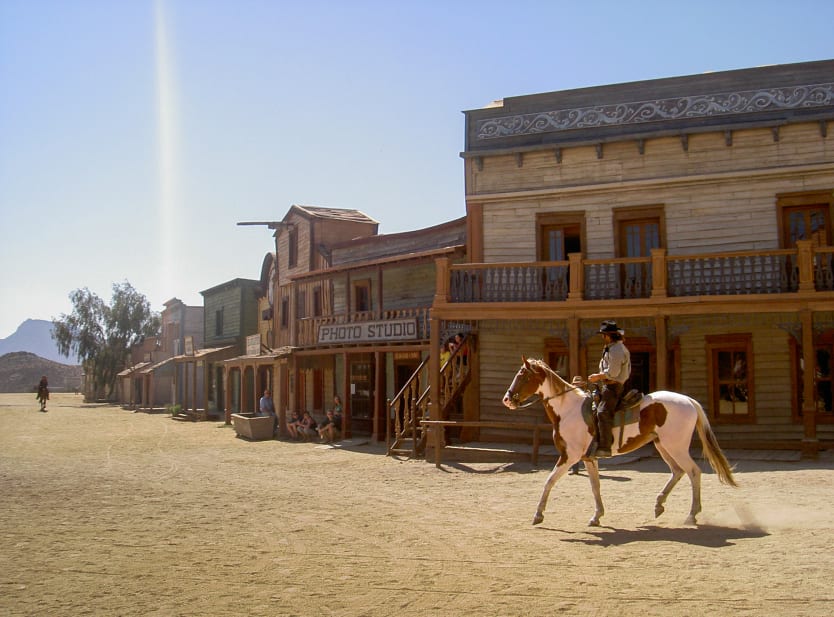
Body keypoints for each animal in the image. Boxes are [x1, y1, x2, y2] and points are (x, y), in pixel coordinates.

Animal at [500, 356, 736, 524]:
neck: (568, 410)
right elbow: (595, 486)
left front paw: (538, 515)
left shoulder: (569, 456)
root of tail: (688, 400)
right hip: (663, 446)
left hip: (676, 447)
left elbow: (549, 481)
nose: (507, 399)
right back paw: (659, 505)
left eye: (523, 375)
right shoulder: (588, 458)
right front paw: (597, 516)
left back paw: (691, 515)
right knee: (677, 471)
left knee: (693, 472)